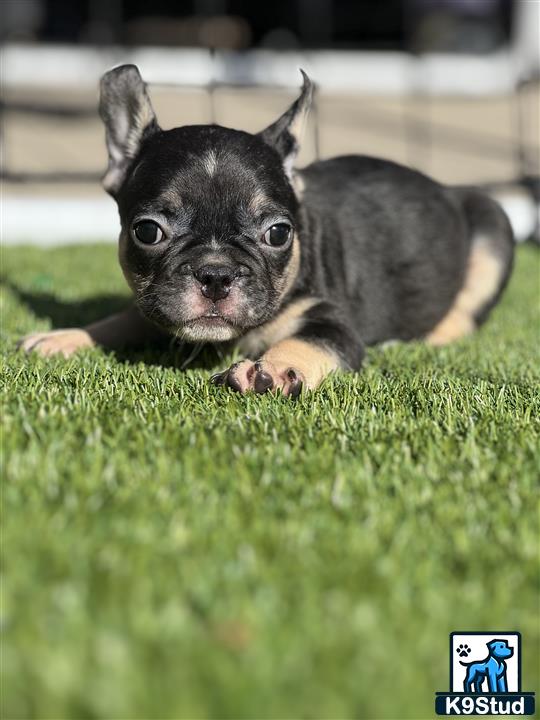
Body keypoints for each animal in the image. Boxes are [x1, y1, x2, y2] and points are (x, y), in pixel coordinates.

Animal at [21, 64, 516, 396]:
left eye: (278, 234)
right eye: (147, 231)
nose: (216, 274)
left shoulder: (331, 324)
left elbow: (305, 341)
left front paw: (272, 369)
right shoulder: (152, 305)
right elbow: (125, 318)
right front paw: (67, 337)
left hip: (493, 224)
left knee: (460, 319)